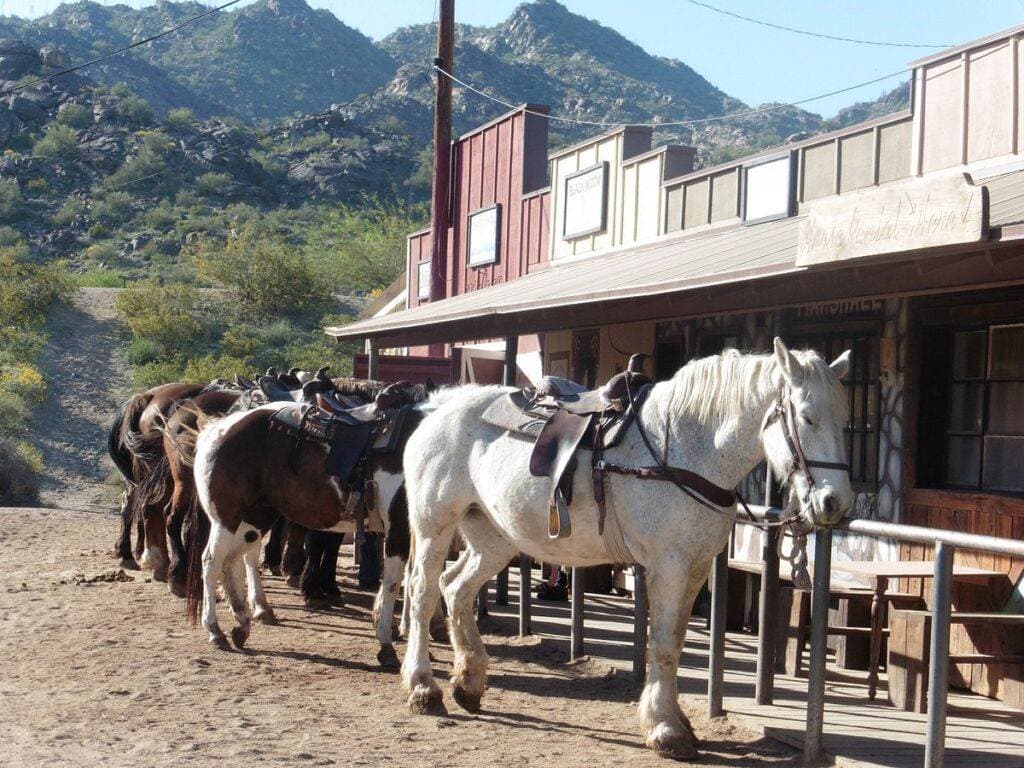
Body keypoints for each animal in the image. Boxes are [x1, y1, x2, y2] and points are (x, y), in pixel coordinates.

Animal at [397, 339, 853, 760]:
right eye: (807, 417)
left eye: (844, 419)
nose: (836, 503)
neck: (683, 448)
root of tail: (441, 407)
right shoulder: (668, 567)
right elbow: (663, 646)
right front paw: (666, 729)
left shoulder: (695, 568)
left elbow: (674, 642)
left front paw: (674, 720)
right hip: (435, 523)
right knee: (423, 593)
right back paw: (423, 687)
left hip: (493, 536)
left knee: (456, 588)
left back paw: (468, 683)